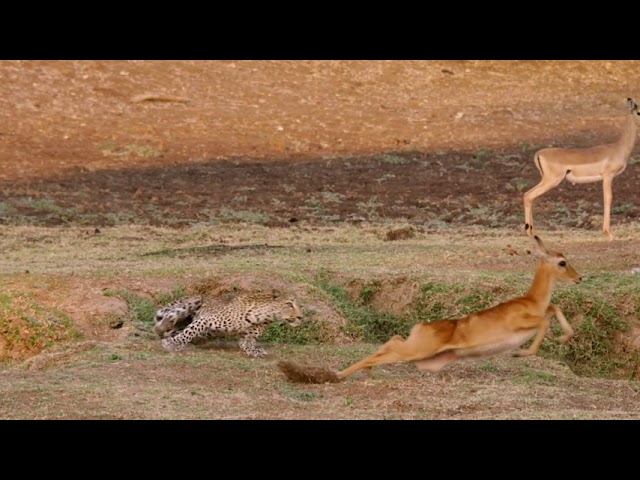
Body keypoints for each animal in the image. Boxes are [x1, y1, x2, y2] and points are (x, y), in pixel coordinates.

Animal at [156, 288, 304, 356]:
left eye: (299, 305)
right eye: (289, 304)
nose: (300, 317)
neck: (262, 316)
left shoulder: (247, 337)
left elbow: (247, 345)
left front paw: (257, 351)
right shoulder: (205, 319)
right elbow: (189, 332)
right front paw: (170, 344)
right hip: (193, 301)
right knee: (163, 323)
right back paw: (167, 324)